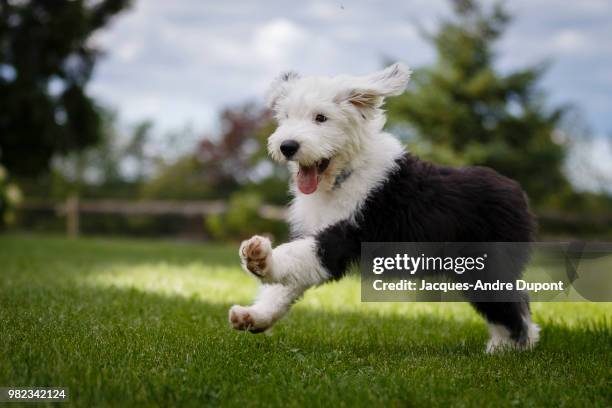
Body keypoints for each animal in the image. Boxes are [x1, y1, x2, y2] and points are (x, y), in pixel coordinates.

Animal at [230, 62, 540, 352]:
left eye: (321, 118)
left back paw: (508, 347)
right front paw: (254, 316)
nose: (287, 146)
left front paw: (260, 258)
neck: (346, 174)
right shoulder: (317, 231)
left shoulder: (344, 235)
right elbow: (285, 285)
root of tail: (516, 191)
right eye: (286, 117)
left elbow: (296, 255)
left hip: (488, 262)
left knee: (508, 304)